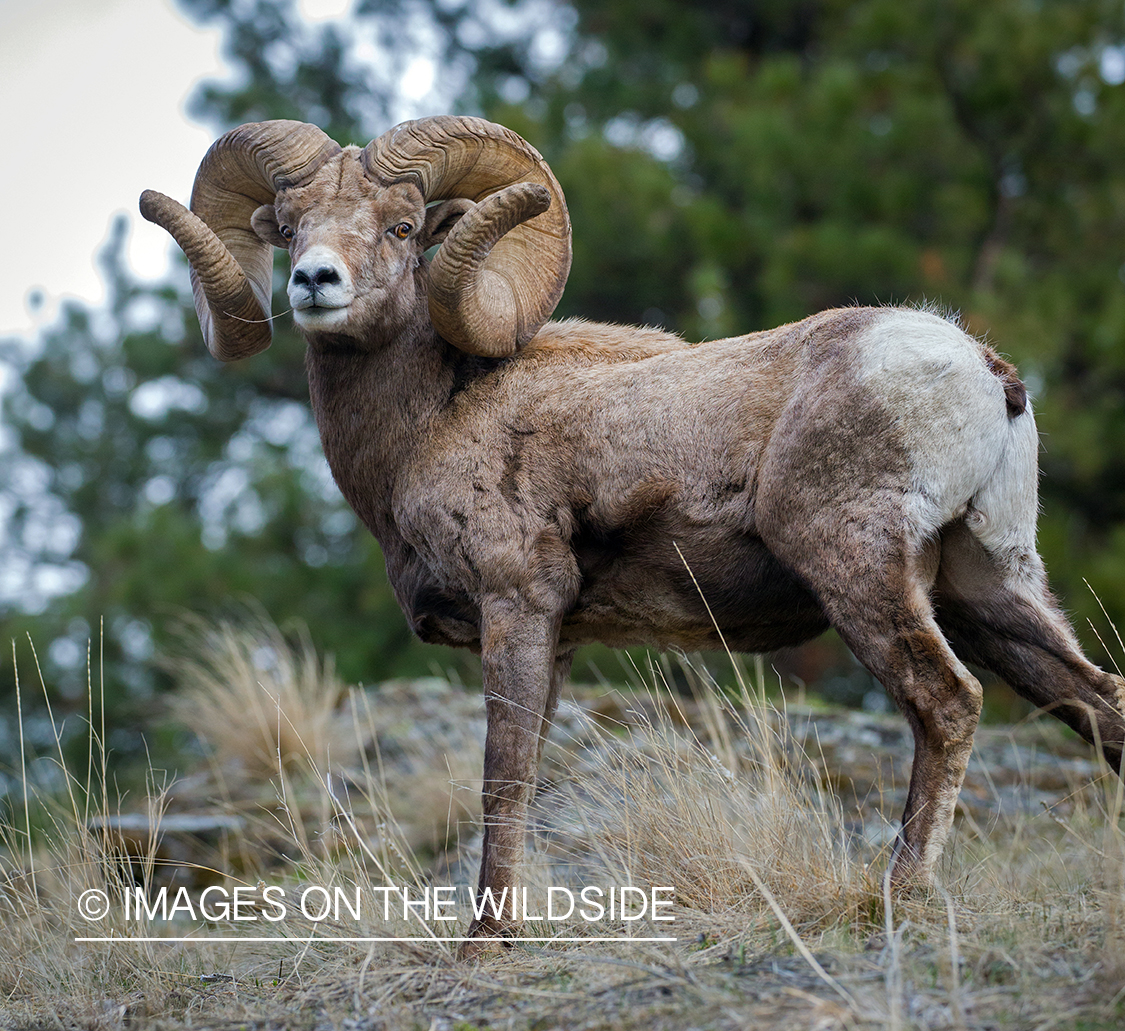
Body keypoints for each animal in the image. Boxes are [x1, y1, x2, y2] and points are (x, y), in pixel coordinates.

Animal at [140, 114, 1125, 955]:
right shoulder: (562, 640)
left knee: (947, 704)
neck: (434, 415)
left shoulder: (517, 604)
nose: (315, 283)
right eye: (291, 225)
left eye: (401, 226)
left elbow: (503, 775)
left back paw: (896, 895)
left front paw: (485, 942)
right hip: (988, 588)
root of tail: (982, 370)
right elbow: (532, 770)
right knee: (1095, 701)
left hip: (864, 575)